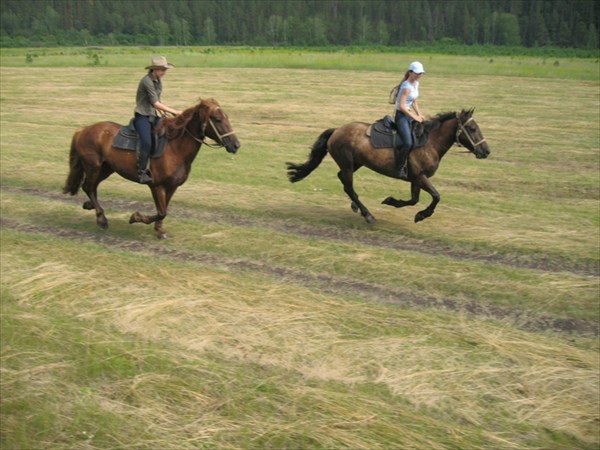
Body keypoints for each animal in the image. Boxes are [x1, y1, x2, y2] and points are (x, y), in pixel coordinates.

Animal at [61, 98, 239, 239]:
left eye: (227, 117)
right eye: (217, 119)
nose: (236, 145)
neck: (175, 148)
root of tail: (82, 130)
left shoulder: (172, 186)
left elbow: (164, 209)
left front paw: (159, 230)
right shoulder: (156, 185)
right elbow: (161, 211)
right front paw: (135, 217)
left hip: (106, 168)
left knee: (91, 187)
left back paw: (91, 207)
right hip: (94, 166)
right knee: (89, 187)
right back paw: (101, 219)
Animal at [288, 107, 490, 223]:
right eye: (472, 129)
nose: (486, 151)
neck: (430, 142)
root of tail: (336, 130)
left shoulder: (415, 179)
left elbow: (414, 199)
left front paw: (392, 201)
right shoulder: (420, 177)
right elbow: (436, 196)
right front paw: (422, 215)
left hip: (356, 163)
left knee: (344, 182)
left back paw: (356, 207)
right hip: (347, 164)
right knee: (348, 186)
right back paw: (367, 215)